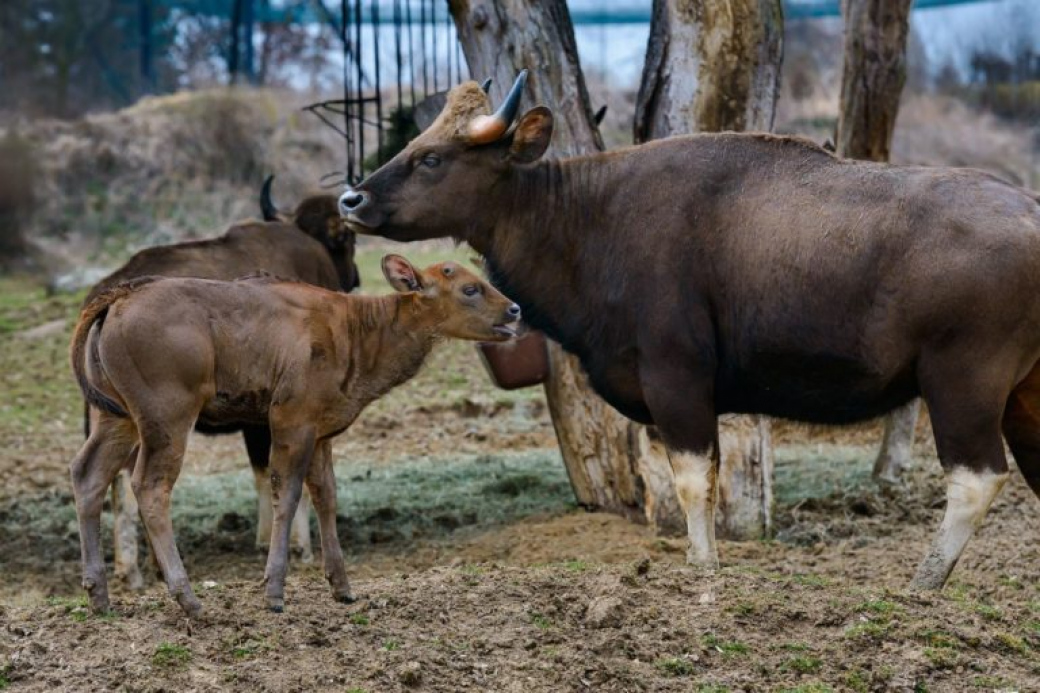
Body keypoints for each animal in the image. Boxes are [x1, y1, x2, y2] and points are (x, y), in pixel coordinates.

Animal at [69, 255, 520, 611]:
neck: (359, 338)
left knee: (87, 472)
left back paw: (99, 596)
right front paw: (274, 591)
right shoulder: (291, 417)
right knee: (149, 485)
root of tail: (117, 298)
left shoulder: (322, 431)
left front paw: (343, 587)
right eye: (469, 288)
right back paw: (187, 597)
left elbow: (327, 496)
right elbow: (286, 493)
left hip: (117, 415)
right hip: (167, 412)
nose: (514, 309)